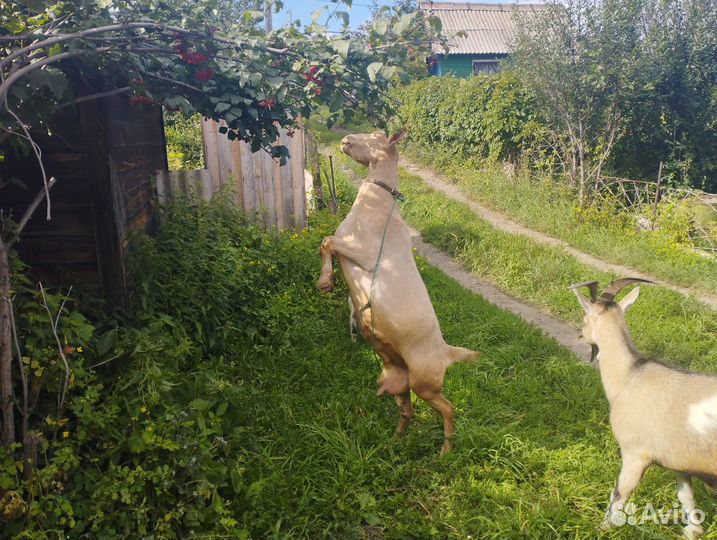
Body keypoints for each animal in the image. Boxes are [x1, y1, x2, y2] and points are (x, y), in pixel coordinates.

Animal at [317, 131, 480, 454]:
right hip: (396, 379)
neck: (377, 205)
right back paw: (393, 442)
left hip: (424, 383)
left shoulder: (364, 253)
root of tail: (447, 352)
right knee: (408, 410)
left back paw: (445, 452)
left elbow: (327, 240)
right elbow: (326, 243)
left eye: (378, 137)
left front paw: (325, 282)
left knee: (448, 408)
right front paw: (329, 285)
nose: (346, 138)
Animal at [572, 278, 717, 538]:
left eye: (585, 316)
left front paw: (601, 528)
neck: (630, 376)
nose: (580, 335)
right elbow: (686, 497)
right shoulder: (678, 463)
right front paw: (693, 531)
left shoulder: (634, 453)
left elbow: (619, 493)